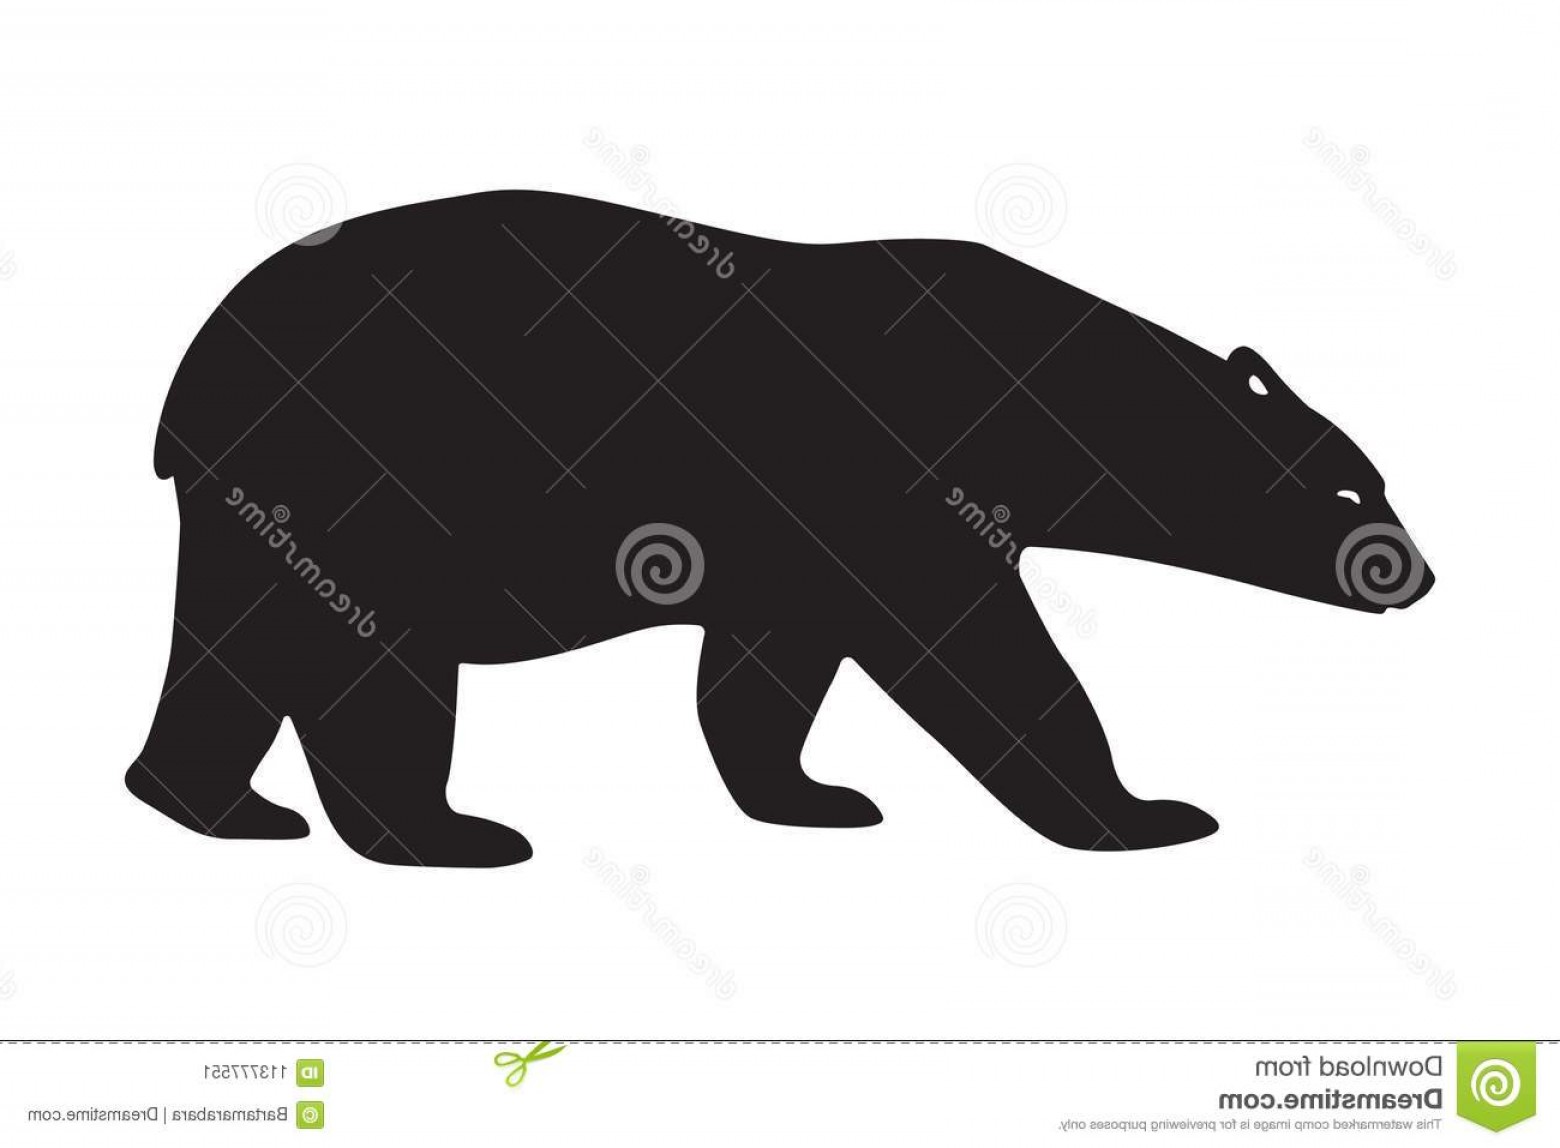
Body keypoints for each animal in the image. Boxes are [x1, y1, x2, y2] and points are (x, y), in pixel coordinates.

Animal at [129, 190, 1433, 866]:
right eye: (1350, 491)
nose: (1413, 573)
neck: (1045, 394)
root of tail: (191, 379)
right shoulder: (898, 491)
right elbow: (987, 654)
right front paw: (1149, 813)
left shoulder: (796, 547)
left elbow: (767, 666)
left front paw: (814, 794)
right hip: (373, 487)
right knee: (371, 668)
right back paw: (445, 832)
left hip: (274, 513)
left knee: (239, 650)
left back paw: (222, 807)